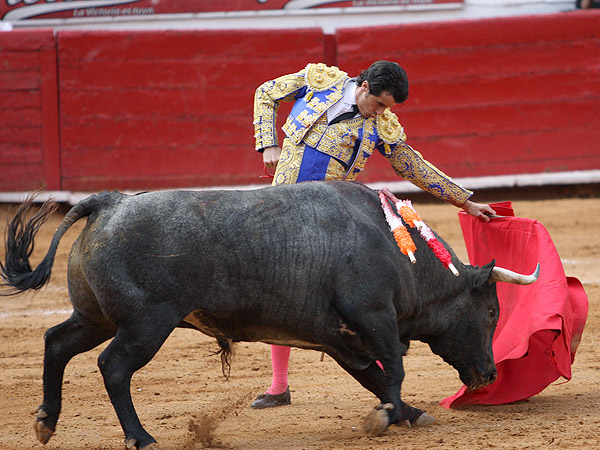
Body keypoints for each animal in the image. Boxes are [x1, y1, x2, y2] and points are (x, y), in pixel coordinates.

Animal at [0, 181, 536, 448]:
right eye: (491, 311)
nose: (489, 374)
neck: (397, 250)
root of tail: (107, 203)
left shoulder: (339, 337)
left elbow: (376, 377)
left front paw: (406, 414)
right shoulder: (373, 316)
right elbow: (394, 370)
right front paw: (388, 418)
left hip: (96, 317)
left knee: (56, 342)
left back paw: (46, 422)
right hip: (145, 324)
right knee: (113, 367)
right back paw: (141, 438)